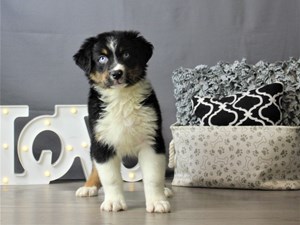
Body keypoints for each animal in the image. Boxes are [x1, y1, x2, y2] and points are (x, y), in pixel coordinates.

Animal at [73, 30, 171, 213]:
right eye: (102, 58)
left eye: (126, 54)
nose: (116, 73)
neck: (121, 98)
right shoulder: (102, 142)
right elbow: (110, 178)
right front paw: (113, 202)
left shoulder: (151, 140)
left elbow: (153, 177)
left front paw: (157, 202)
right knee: (95, 166)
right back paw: (88, 187)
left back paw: (166, 190)